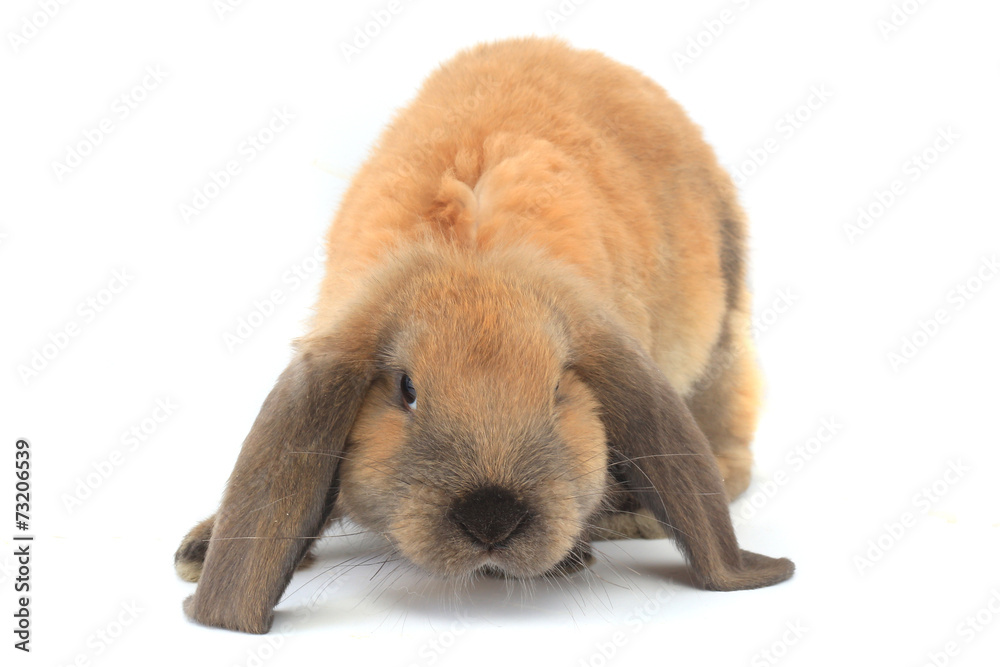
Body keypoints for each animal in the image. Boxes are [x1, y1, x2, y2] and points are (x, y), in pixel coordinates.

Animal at [175, 36, 794, 634]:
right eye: (406, 391)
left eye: (558, 391)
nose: (492, 517)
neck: (472, 259)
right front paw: (199, 552)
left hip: (721, 346)